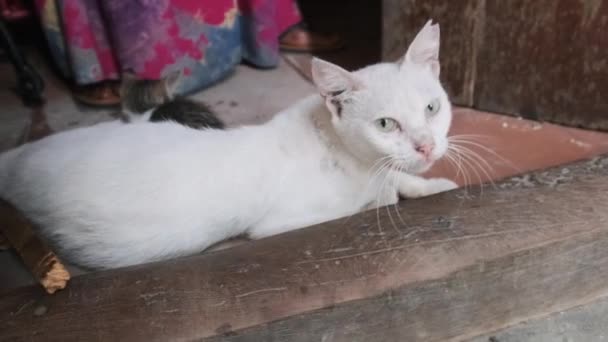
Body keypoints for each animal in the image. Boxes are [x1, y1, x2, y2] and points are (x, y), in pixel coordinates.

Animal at [0, 20, 456, 270]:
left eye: (432, 108)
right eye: (386, 124)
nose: (426, 146)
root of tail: (19, 160)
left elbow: (399, 179)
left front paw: (431, 185)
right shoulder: (282, 223)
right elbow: (374, 201)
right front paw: (391, 194)